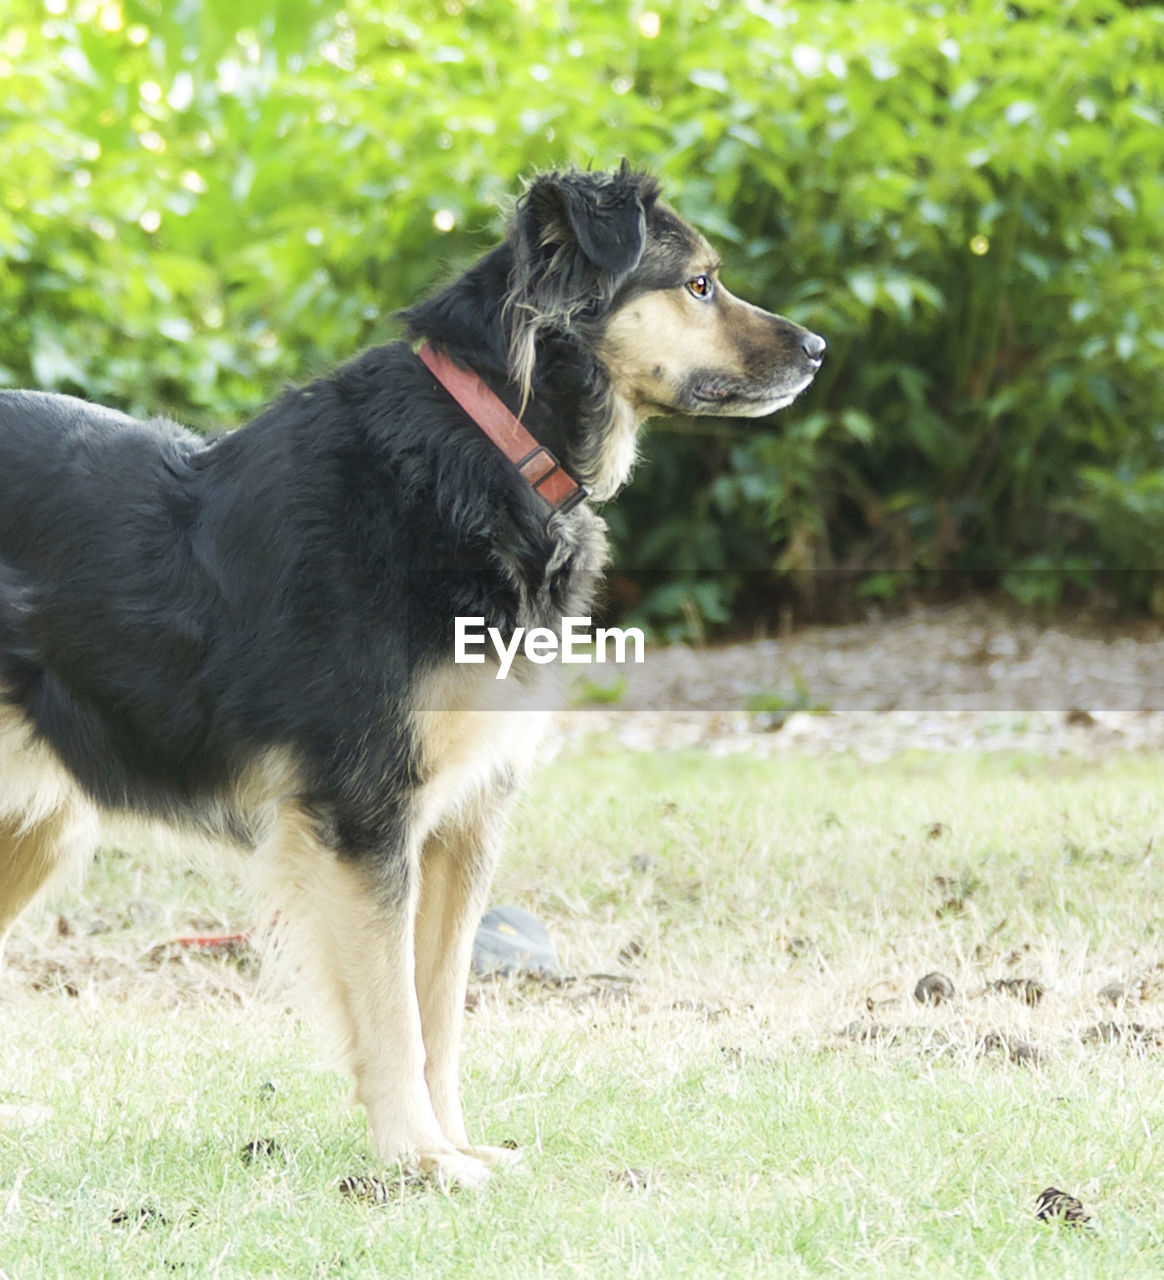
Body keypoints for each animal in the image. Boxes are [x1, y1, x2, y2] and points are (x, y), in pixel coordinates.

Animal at [0, 165, 819, 1182]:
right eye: (700, 284)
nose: (819, 350)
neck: (491, 447)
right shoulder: (366, 817)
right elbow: (391, 1013)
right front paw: (420, 1164)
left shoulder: (463, 818)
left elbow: (438, 1010)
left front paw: (453, 1146)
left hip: (33, 827)